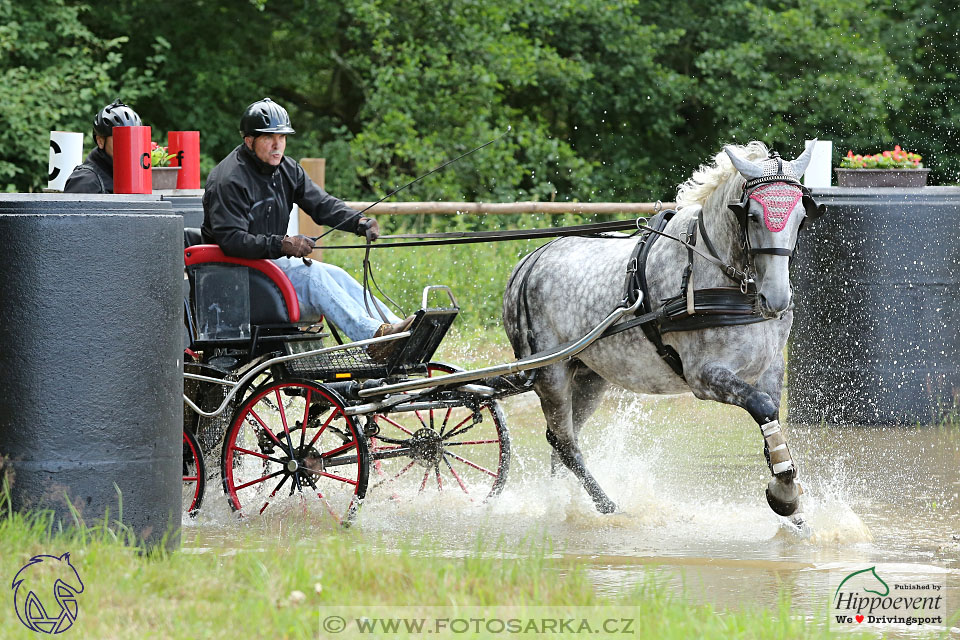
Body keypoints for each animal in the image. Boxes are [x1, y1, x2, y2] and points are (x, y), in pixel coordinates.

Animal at [502, 142, 816, 532]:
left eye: (801, 216)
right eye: (753, 216)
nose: (776, 300)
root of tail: (529, 262)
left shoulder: (770, 367)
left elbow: (771, 417)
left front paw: (794, 506)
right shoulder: (703, 375)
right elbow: (762, 407)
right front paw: (785, 495)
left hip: (589, 376)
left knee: (561, 440)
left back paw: (564, 505)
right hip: (551, 372)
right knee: (564, 442)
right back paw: (609, 507)